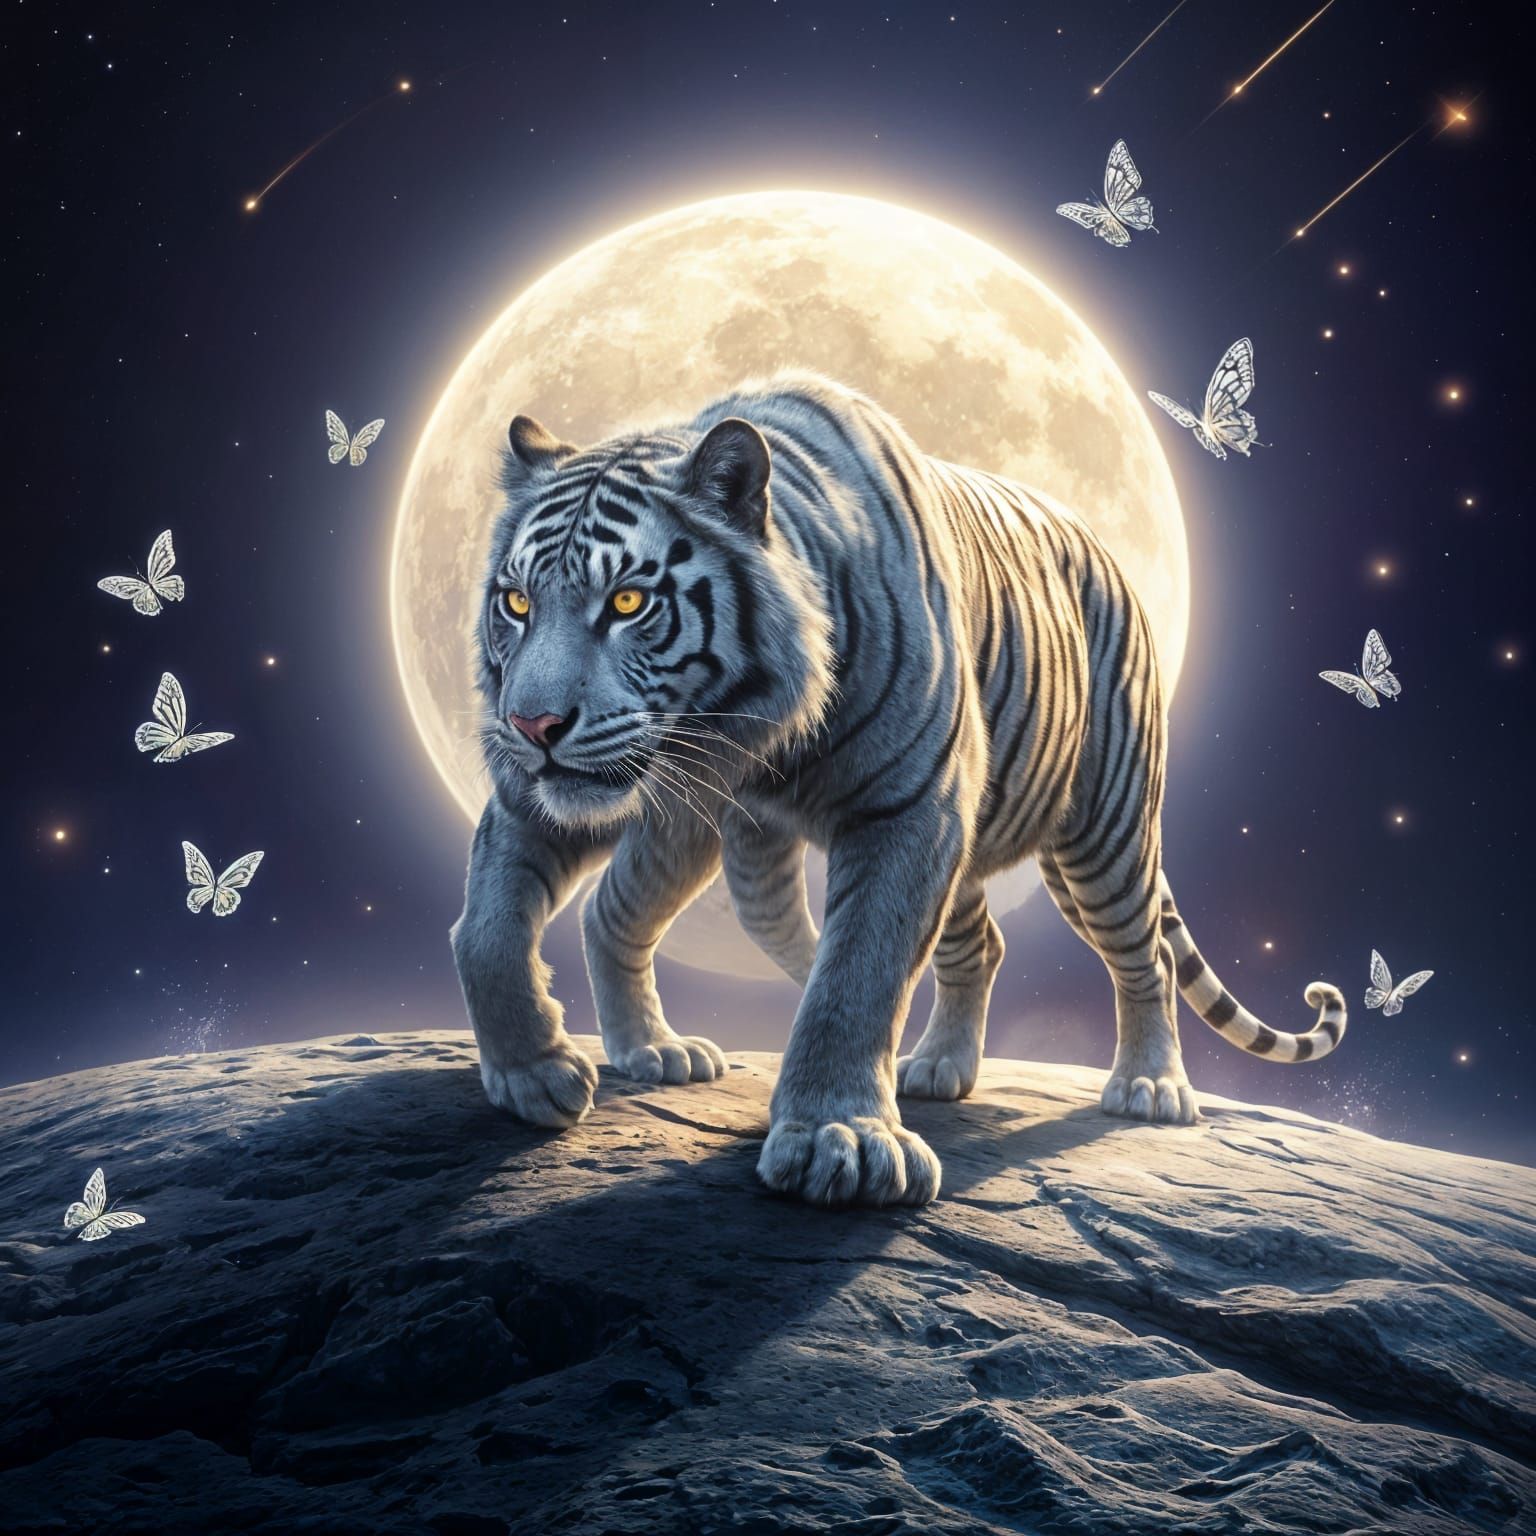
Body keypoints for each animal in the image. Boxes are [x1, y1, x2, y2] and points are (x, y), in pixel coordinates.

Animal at [451, 370, 1346, 1209]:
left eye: (628, 600)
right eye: (516, 601)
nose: (531, 724)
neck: (744, 729)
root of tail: (1105, 552)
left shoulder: (910, 811)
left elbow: (857, 975)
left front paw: (837, 1140)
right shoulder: (569, 790)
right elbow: (486, 926)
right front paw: (532, 1073)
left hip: (1106, 834)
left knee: (1145, 955)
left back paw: (1149, 1088)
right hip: (722, 829)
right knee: (965, 943)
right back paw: (704, 1054)